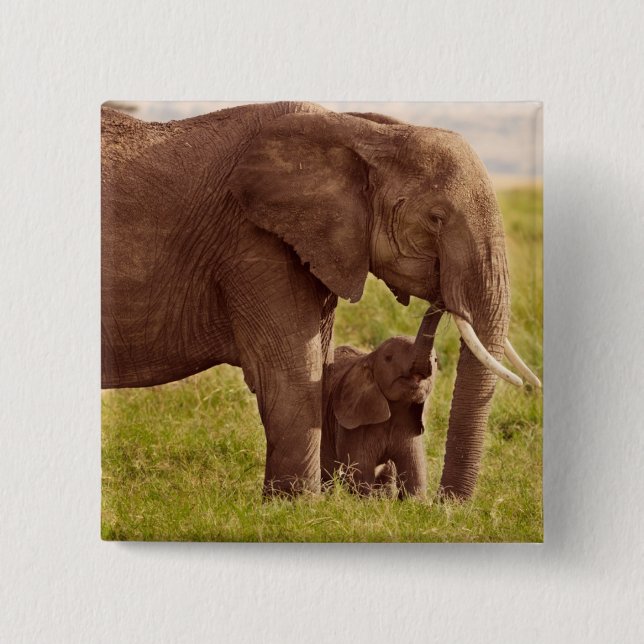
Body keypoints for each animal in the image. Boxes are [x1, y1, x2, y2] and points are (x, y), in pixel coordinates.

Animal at [321, 337, 439, 498]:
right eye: (388, 358)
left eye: (436, 360)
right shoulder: (353, 426)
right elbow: (360, 472)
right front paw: (364, 500)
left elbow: (414, 471)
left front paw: (415, 502)